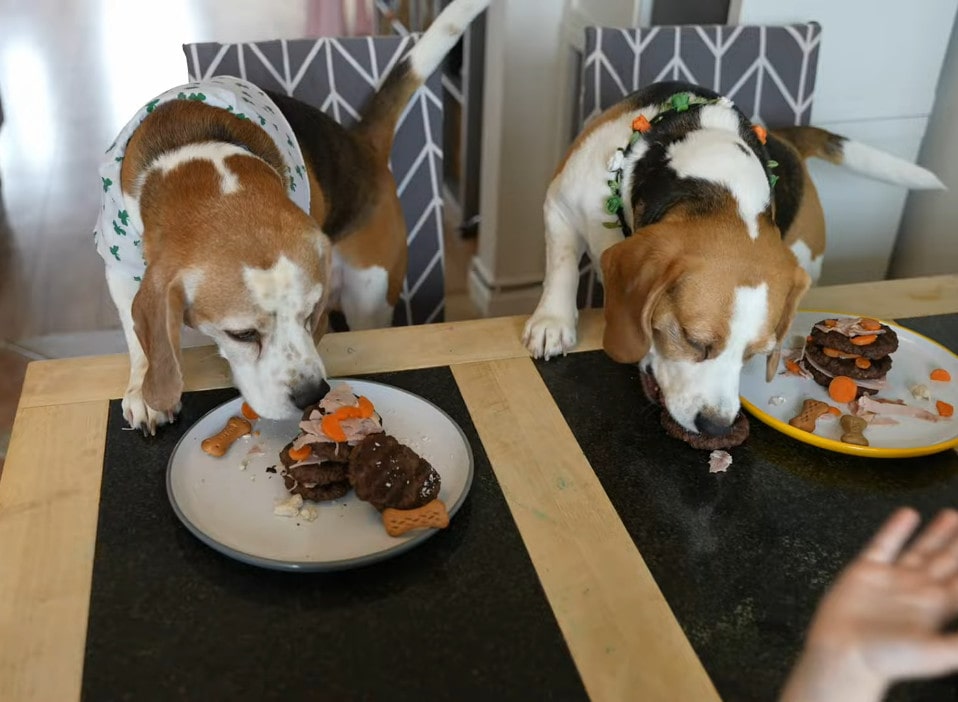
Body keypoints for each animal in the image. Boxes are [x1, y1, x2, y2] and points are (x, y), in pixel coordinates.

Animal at [95, 0, 496, 434]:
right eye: (242, 334)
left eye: (309, 313)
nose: (311, 396)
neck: (197, 156)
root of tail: (361, 144)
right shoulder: (118, 267)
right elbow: (137, 336)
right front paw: (144, 392)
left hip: (369, 295)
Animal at [524, 81, 944, 440]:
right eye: (693, 341)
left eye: (754, 355)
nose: (716, 427)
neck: (714, 184)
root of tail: (785, 140)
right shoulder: (558, 205)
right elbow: (562, 264)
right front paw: (553, 322)